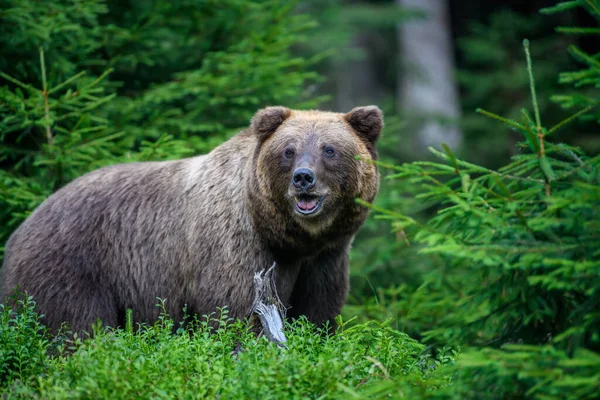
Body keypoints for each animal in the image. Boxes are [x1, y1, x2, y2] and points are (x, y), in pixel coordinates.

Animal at [0, 104, 382, 332]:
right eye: (288, 151)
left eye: (329, 150)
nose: (303, 177)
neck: (288, 237)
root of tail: (22, 226)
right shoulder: (235, 244)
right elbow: (236, 309)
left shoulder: (326, 257)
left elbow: (318, 310)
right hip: (73, 265)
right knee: (73, 326)